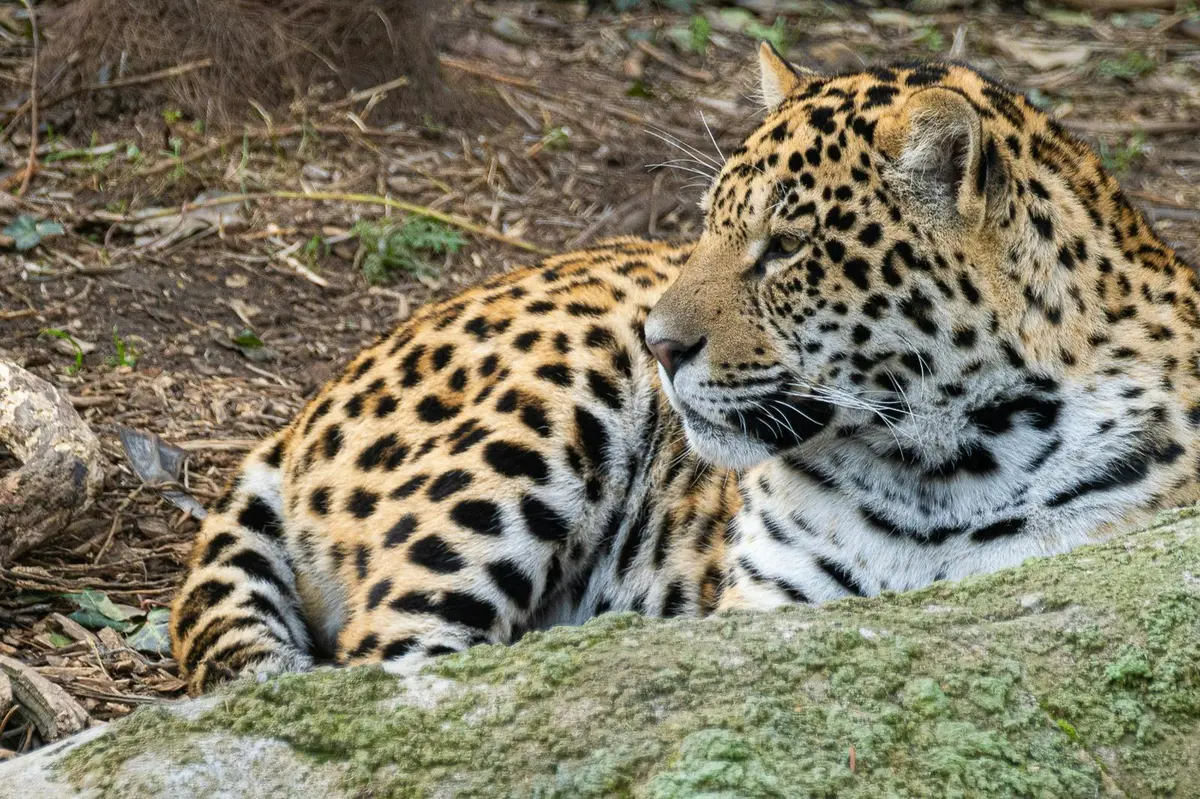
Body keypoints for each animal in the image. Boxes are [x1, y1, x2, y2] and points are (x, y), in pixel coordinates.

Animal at [171, 43, 1200, 694]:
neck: (942, 465)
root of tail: (306, 408)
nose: (660, 343)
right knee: (394, 665)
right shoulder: (768, 609)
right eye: (706, 225)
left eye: (787, 246)